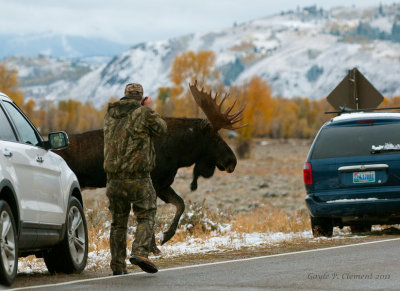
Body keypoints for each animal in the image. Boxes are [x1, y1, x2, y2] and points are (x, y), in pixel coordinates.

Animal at [55, 81, 244, 252]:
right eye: (216, 138)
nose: (232, 161)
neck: (180, 151)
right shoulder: (153, 182)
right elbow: (153, 214)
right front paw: (153, 246)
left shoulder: (163, 184)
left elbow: (180, 204)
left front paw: (165, 237)